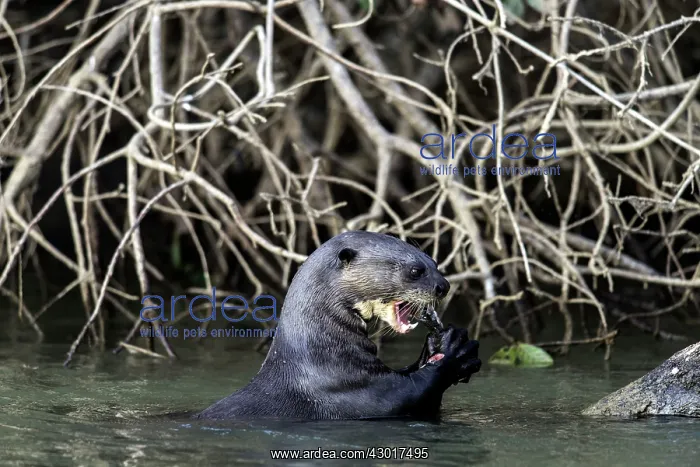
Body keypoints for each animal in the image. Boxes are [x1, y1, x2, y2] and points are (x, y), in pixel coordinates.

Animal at [194, 231, 481, 420]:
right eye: (415, 271)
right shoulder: (359, 392)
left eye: (434, 263)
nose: (444, 285)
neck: (322, 358)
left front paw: (438, 344)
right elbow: (413, 393)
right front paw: (455, 350)